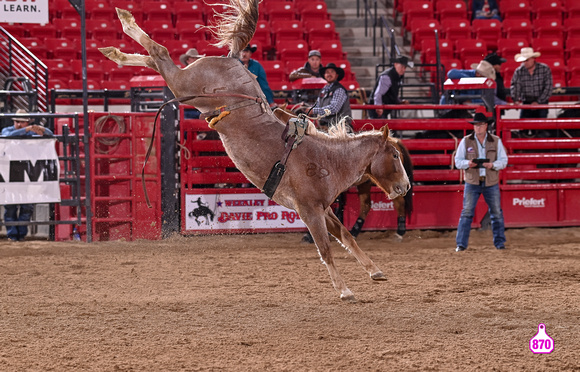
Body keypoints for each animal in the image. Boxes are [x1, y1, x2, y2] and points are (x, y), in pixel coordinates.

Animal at [99, 0, 410, 300]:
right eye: (394, 156)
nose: (406, 186)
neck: (327, 160)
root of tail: (234, 59)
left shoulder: (323, 210)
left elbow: (347, 237)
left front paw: (375, 271)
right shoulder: (309, 210)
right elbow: (325, 249)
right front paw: (345, 290)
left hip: (186, 89)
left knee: (155, 60)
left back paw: (116, 52)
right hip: (186, 88)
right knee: (160, 52)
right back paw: (125, 21)